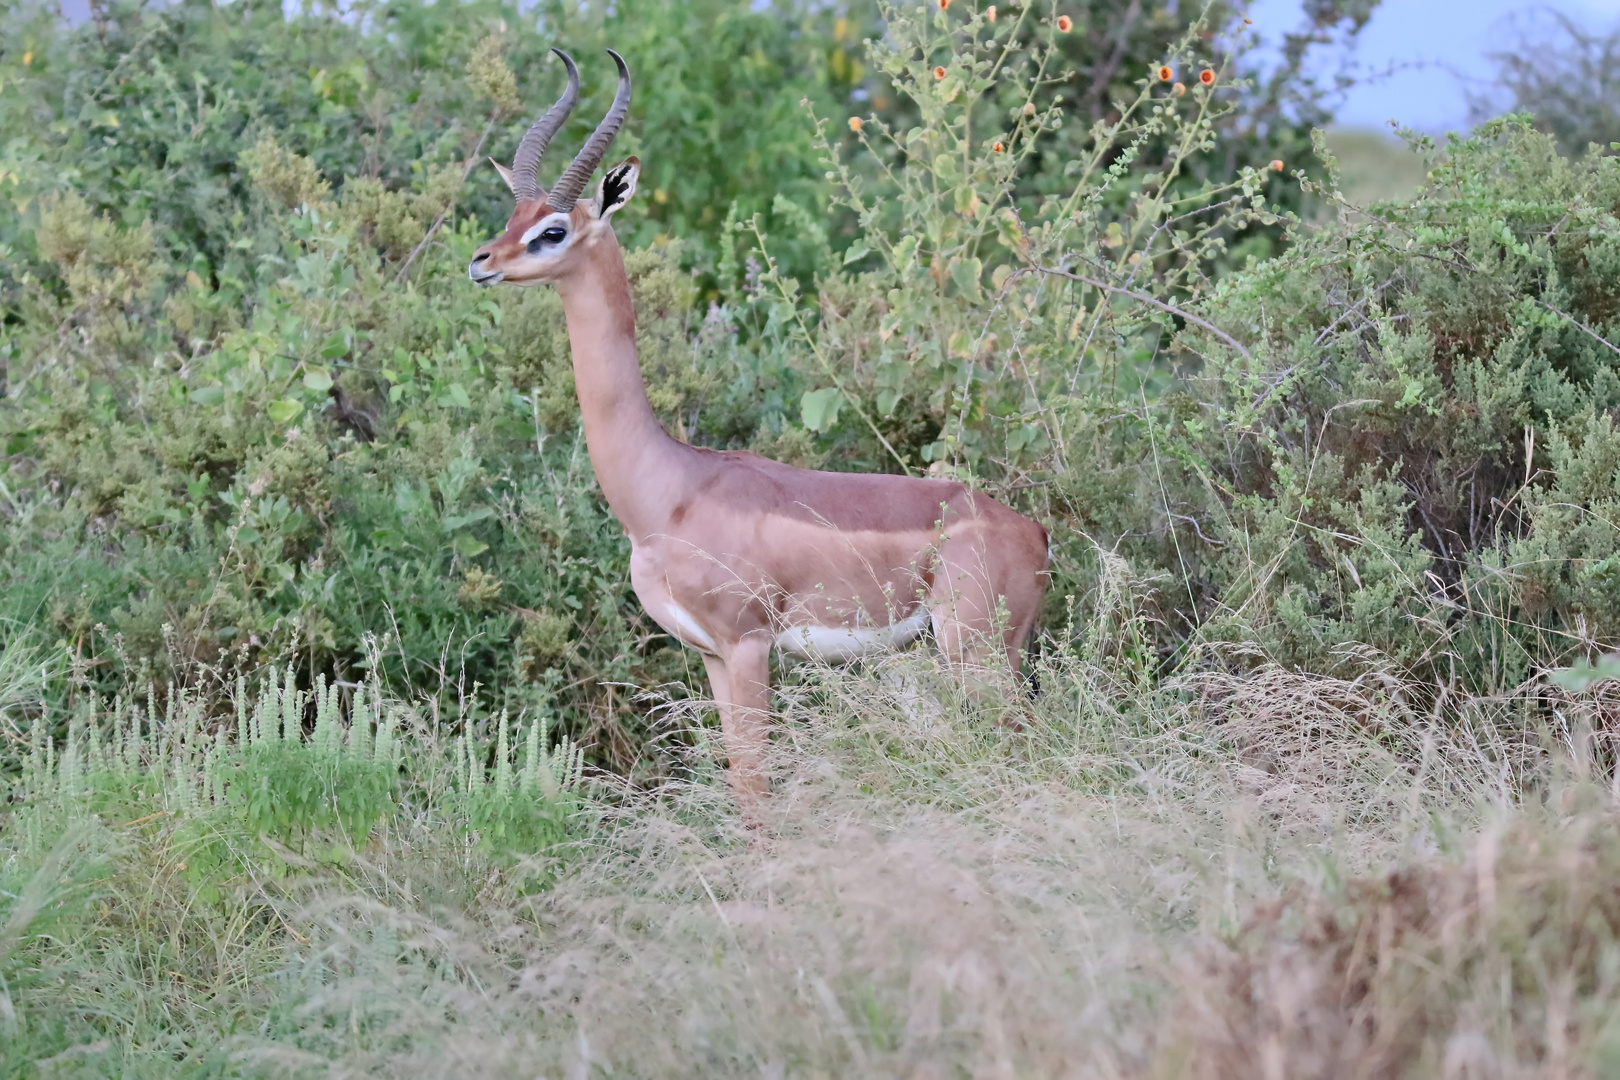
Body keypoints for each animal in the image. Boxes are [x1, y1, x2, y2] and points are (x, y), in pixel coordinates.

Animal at [469, 50, 1049, 806]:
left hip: (976, 655)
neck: (668, 494)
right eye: (517, 212)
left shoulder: (748, 647)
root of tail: (1034, 531)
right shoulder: (712, 655)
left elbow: (757, 786)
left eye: (553, 229)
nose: (482, 262)